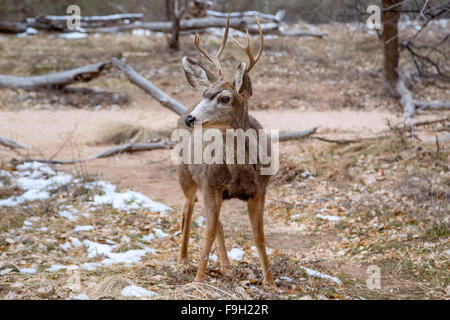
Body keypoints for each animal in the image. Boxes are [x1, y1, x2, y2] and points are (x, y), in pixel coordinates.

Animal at [177, 14, 276, 290]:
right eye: (204, 93)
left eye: (225, 98)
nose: (190, 119)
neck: (240, 171)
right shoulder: (211, 184)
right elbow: (208, 231)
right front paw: (197, 281)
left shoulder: (260, 190)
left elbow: (259, 236)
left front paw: (270, 283)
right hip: (187, 176)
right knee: (188, 209)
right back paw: (183, 259)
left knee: (216, 222)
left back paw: (227, 268)